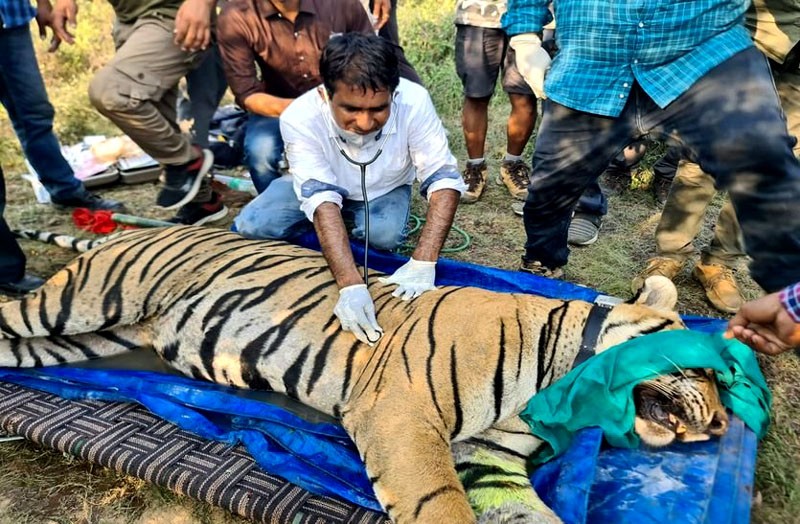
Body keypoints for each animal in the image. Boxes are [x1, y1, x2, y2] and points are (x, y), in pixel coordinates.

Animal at [0, 226, 729, 524]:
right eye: (713, 370)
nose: (723, 424)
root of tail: (125, 233)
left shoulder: (489, 459)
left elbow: (525, 513)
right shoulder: (403, 419)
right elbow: (440, 507)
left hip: (89, 338)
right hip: (84, 299)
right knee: (9, 312)